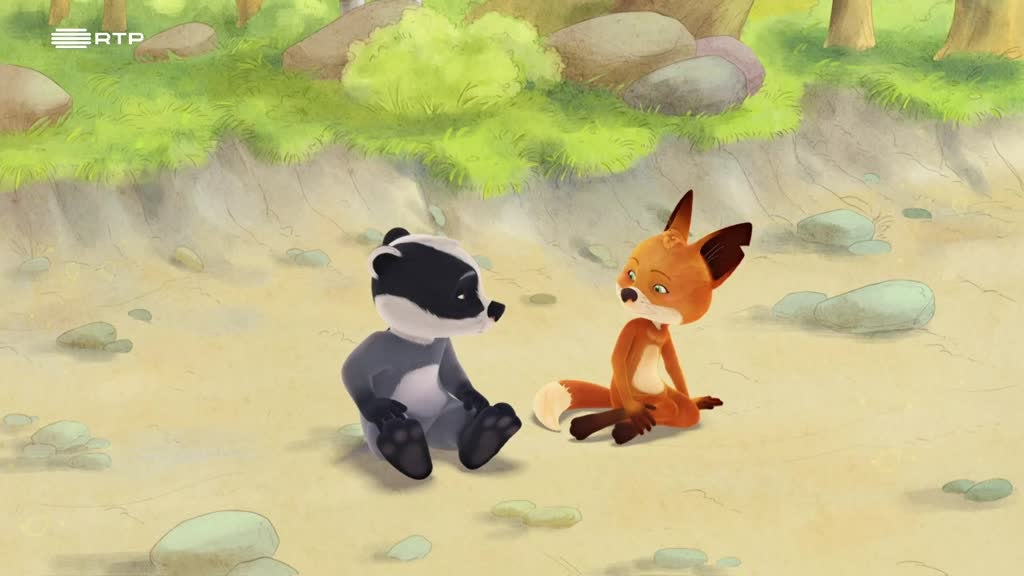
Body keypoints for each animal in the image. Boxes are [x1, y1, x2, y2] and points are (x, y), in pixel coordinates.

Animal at [533, 190, 752, 445]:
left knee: (678, 409)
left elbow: (674, 367)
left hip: (662, 393)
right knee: (644, 409)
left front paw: (692, 399)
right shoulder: (632, 327)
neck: (654, 327)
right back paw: (614, 423)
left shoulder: (665, 339)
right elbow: (618, 358)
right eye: (631, 274)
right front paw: (636, 414)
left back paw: (624, 427)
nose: (628, 293)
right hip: (626, 393)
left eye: (659, 289)